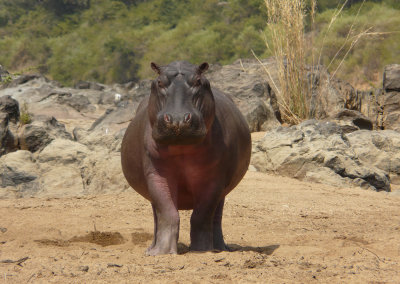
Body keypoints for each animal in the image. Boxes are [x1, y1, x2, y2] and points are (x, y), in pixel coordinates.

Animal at [120, 60, 250, 255]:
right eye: (159, 82)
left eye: (198, 81)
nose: (178, 119)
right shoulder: (157, 175)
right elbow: (167, 212)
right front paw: (163, 252)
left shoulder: (213, 180)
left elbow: (201, 216)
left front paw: (202, 250)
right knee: (157, 216)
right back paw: (151, 249)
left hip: (223, 191)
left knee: (216, 216)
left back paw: (220, 248)